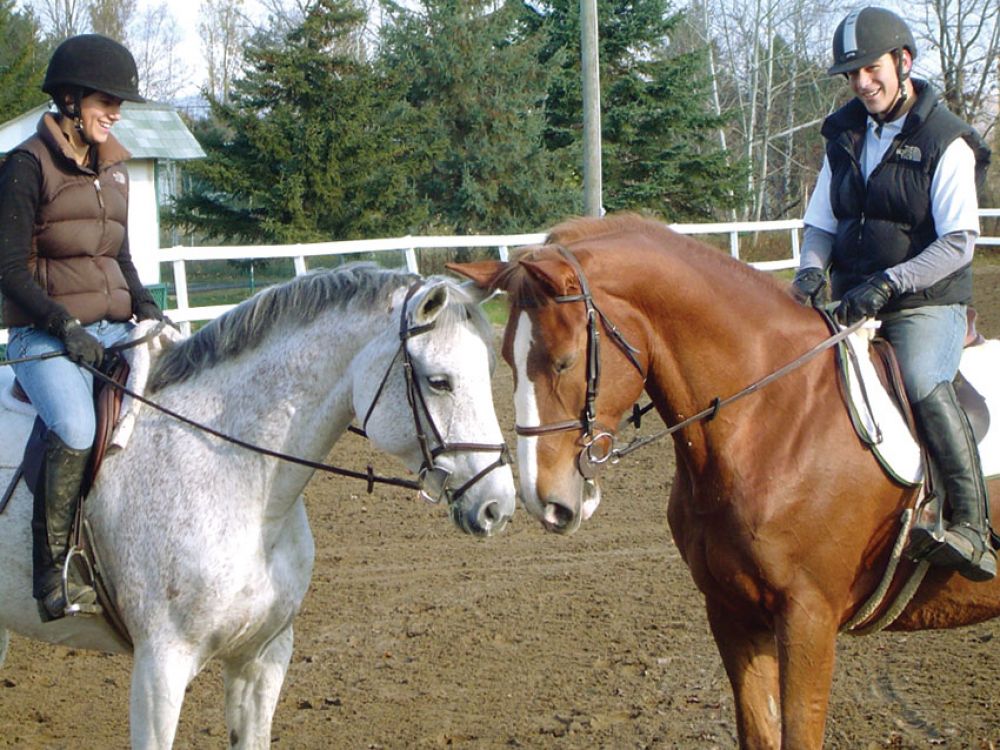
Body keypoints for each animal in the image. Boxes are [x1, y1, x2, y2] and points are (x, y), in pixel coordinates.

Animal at [454, 214, 1000, 748]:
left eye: (564, 361)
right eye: (507, 360)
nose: (545, 501)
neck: (772, 417)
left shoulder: (809, 618)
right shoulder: (732, 613)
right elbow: (759, 731)